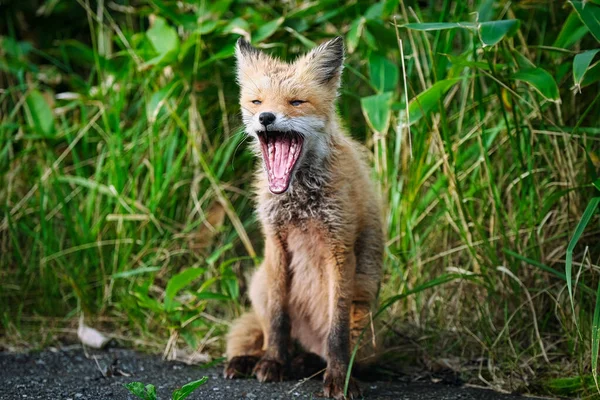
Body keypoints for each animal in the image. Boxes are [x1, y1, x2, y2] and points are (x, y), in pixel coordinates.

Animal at [221, 36, 384, 398]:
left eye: (296, 102)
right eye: (256, 101)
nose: (266, 117)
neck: (300, 202)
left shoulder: (340, 249)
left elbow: (337, 334)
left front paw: (338, 378)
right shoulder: (276, 244)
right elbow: (278, 321)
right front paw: (272, 363)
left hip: (364, 317)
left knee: (326, 350)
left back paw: (307, 364)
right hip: (261, 283)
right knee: (268, 330)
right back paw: (258, 360)